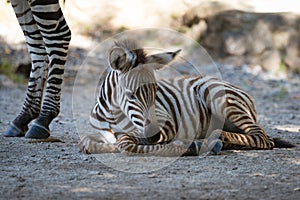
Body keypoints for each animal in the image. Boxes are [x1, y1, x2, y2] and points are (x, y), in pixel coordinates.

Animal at [78, 39, 296, 155]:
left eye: (156, 92)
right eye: (130, 95)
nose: (154, 135)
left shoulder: (166, 124)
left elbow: (126, 144)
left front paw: (187, 146)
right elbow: (87, 142)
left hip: (219, 98)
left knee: (262, 137)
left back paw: (213, 139)